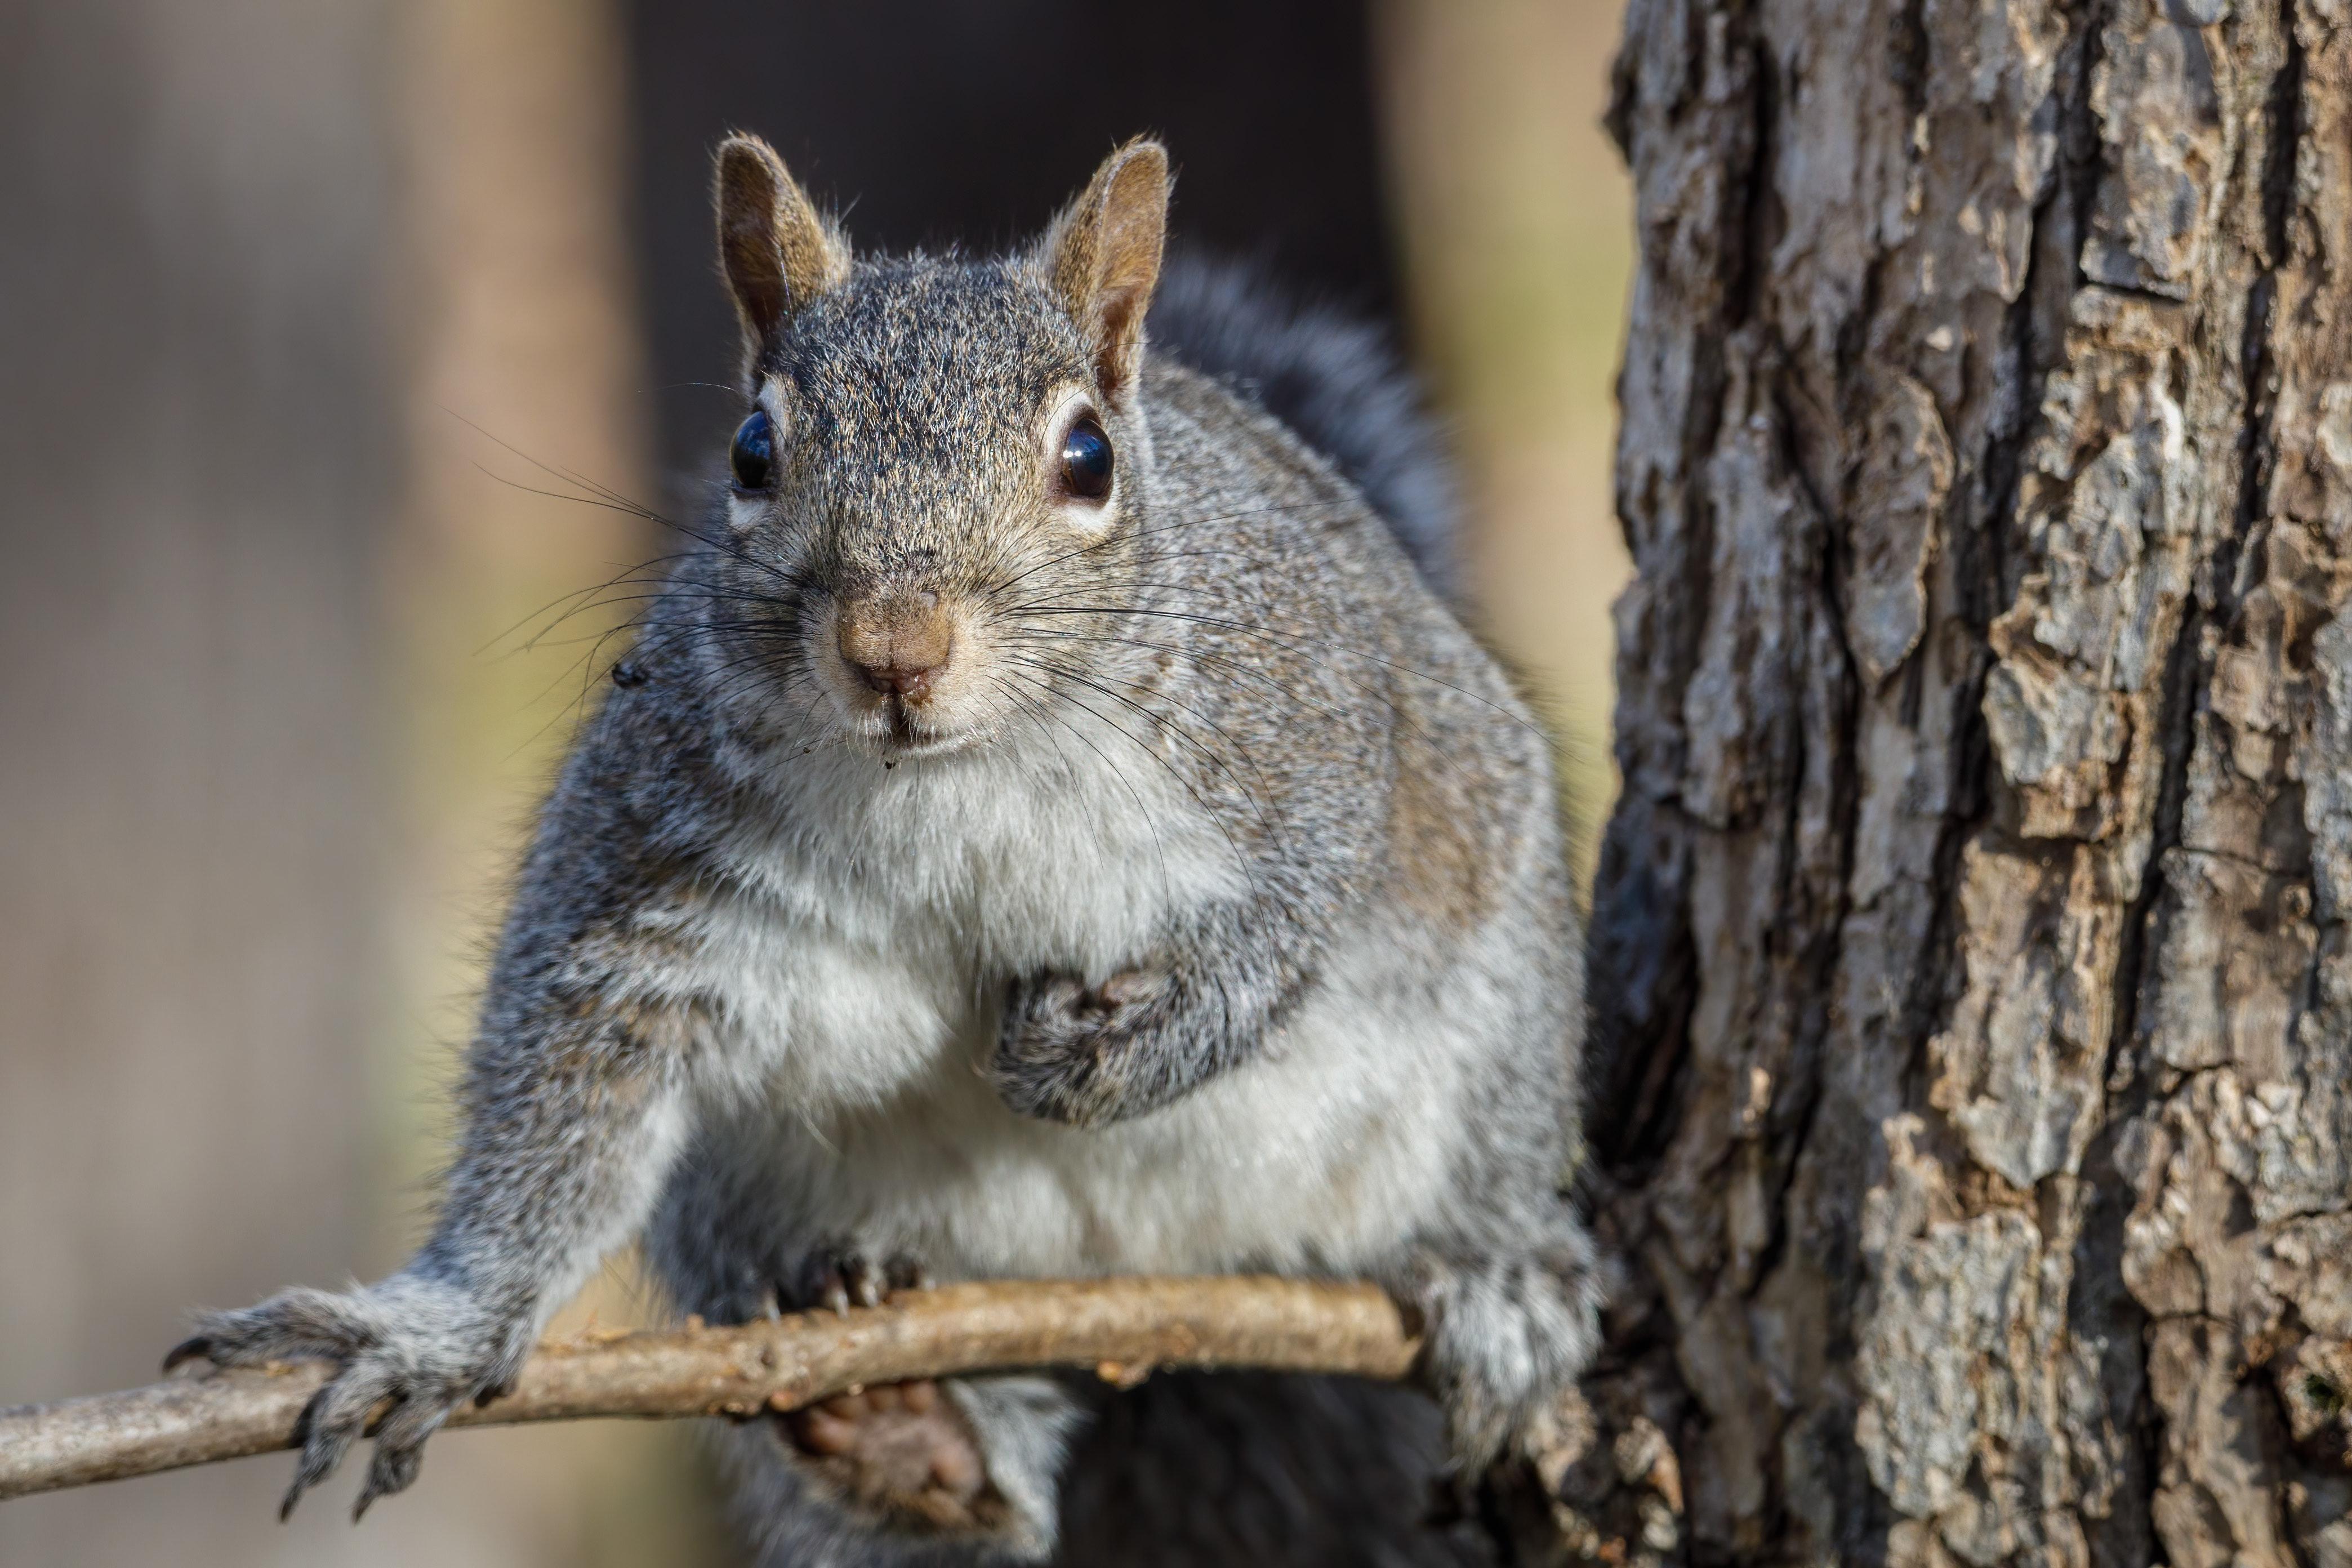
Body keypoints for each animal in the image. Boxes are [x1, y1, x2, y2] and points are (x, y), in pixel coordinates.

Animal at [170, 138, 1599, 1568]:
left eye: (1089, 456)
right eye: (752, 449)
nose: (893, 647)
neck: (950, 781)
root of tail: (1148, 1276)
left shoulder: (1316, 743)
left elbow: (1293, 921)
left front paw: (1117, 1056)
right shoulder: (650, 867)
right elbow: (572, 1080)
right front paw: (446, 1323)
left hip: (1496, 999)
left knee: (1489, 1144)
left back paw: (1498, 1277)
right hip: (737, 1212)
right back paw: (913, 1431)